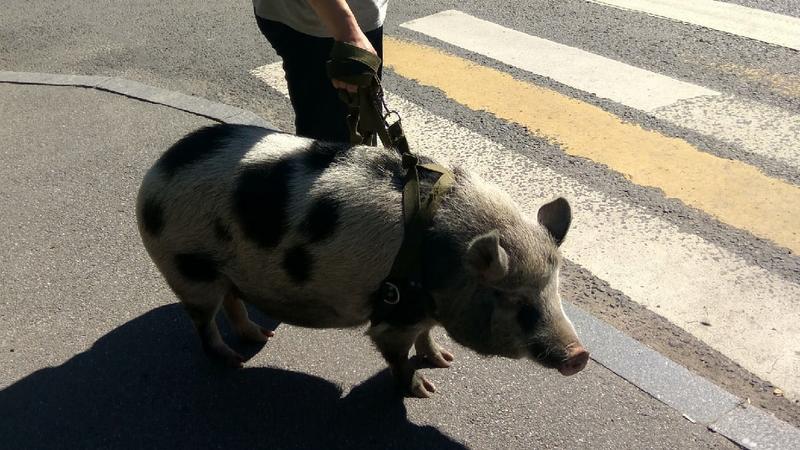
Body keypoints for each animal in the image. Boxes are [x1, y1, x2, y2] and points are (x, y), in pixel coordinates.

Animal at [136, 123, 588, 398]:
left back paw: (258, 338)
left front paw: (445, 360)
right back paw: (231, 360)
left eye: (554, 292)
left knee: (232, 301)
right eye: (518, 302)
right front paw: (424, 390)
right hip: (188, 267)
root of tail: (157, 170)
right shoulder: (396, 313)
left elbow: (426, 337)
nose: (579, 354)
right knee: (204, 323)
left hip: (222, 270)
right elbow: (396, 354)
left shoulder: (424, 312)